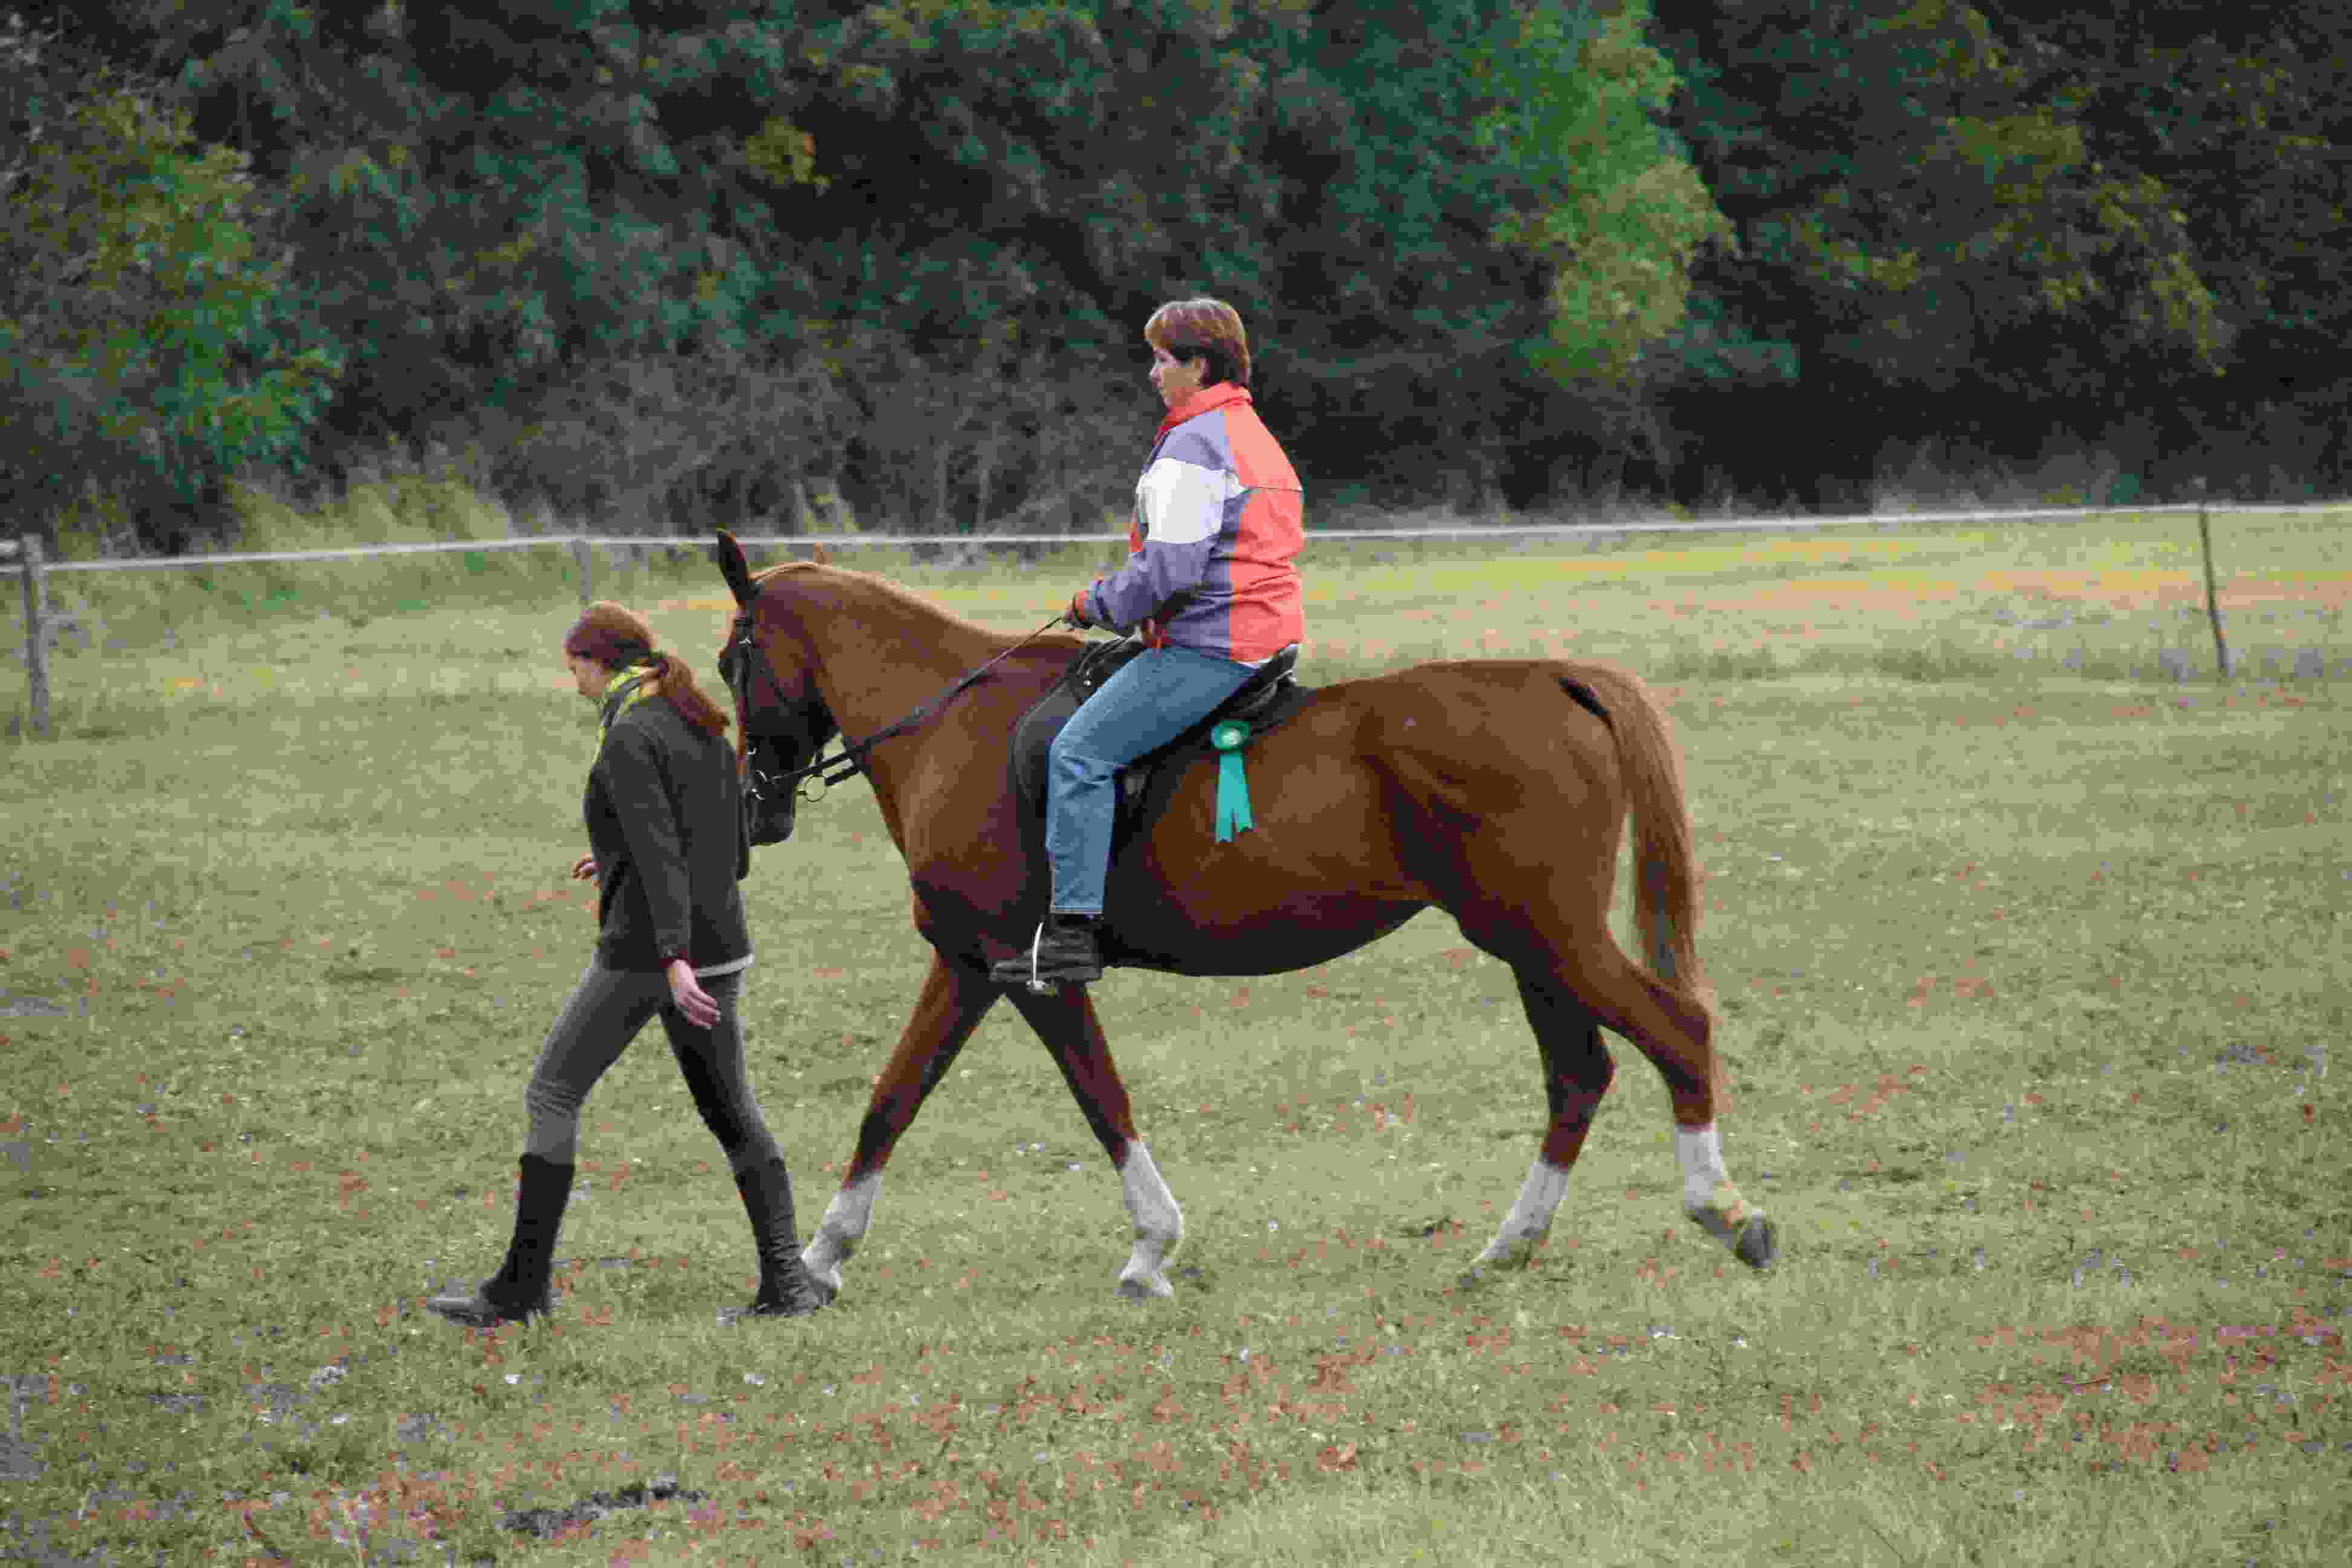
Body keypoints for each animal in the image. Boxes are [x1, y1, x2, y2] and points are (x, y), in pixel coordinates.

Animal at [705, 534, 1768, 1307]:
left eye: (729, 663)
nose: (756, 810)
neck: (949, 728)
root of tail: (1554, 678)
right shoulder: (970, 967)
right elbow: (892, 1100)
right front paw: (822, 1258)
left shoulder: (1028, 970)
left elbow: (1101, 1099)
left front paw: (1151, 1249)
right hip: (1527, 942)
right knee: (1578, 1075)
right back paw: (1510, 1247)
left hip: (1549, 934)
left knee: (1676, 1030)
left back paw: (1723, 1208)